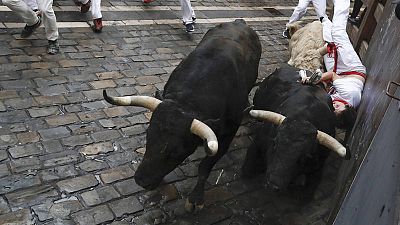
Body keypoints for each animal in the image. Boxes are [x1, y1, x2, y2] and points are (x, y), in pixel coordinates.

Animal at [103, 19, 262, 211]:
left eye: (176, 151)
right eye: (148, 137)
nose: (141, 181)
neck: (188, 101)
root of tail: (240, 22)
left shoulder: (227, 134)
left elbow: (205, 166)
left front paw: (196, 198)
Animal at [242, 64, 348, 192]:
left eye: (302, 157)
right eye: (275, 144)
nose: (273, 183)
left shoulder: (317, 168)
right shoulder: (259, 142)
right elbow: (247, 170)